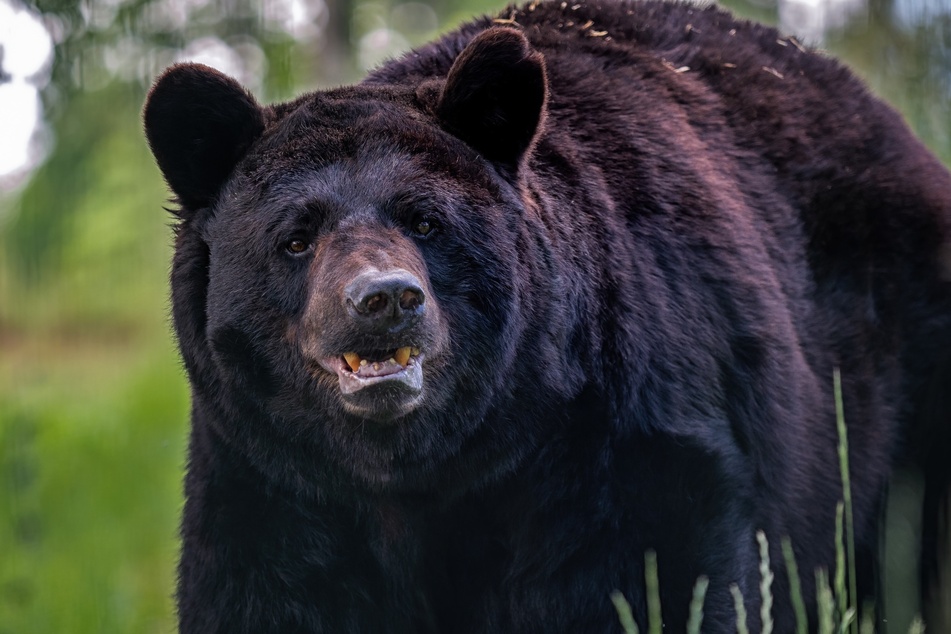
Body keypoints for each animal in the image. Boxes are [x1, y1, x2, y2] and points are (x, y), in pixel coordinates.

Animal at [143, 2, 951, 628]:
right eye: (296, 236)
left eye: (425, 219)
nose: (385, 299)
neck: (419, 473)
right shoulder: (271, 481)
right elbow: (264, 593)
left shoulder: (616, 444)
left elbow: (658, 585)